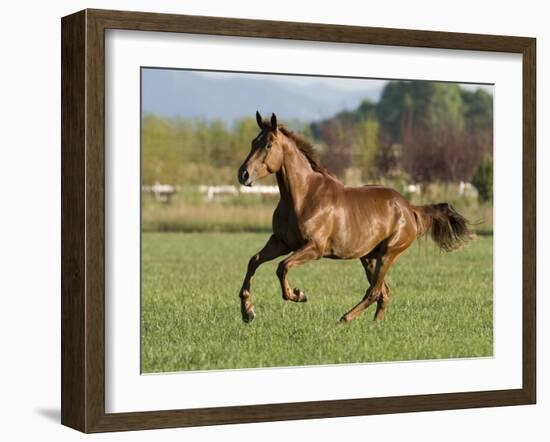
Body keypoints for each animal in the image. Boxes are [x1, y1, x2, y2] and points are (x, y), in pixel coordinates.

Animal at [237, 112, 474, 322]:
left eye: (268, 145)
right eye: (253, 142)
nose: (243, 174)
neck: (304, 196)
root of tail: (409, 208)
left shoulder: (314, 248)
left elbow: (282, 267)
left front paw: (297, 294)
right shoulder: (281, 242)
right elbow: (254, 261)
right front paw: (248, 312)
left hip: (388, 254)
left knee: (374, 292)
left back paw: (344, 319)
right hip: (369, 257)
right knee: (383, 293)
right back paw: (373, 326)